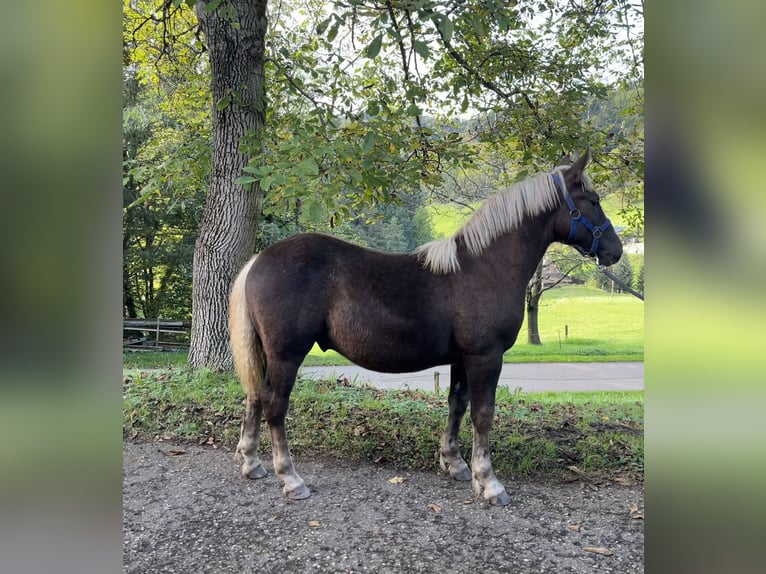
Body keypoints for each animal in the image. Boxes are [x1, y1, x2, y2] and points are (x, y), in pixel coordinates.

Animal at [228, 151, 624, 506]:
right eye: (592, 200)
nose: (616, 250)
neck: (485, 266)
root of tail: (258, 260)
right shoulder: (486, 356)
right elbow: (483, 414)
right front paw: (489, 483)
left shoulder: (462, 358)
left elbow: (457, 404)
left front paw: (456, 465)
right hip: (286, 355)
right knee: (275, 406)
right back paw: (291, 479)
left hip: (266, 354)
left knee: (255, 397)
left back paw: (252, 463)